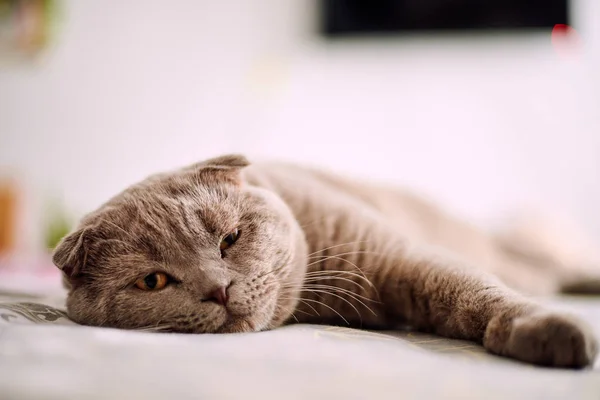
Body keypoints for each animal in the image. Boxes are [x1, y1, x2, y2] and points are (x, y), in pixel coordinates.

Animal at [52, 154, 600, 368]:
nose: (219, 289)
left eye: (230, 239)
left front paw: (548, 329)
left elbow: (472, 291)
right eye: (153, 281)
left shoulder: (403, 256)